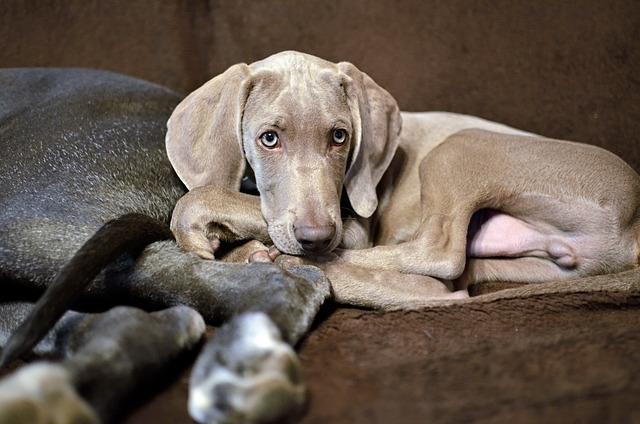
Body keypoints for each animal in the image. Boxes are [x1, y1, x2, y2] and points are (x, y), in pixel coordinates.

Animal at [169, 50, 640, 308]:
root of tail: (633, 226)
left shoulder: (354, 224)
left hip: (460, 147)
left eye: (339, 136)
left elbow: (212, 200)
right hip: (538, 264)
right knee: (456, 277)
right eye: (269, 138)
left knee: (440, 257)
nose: (316, 238)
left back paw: (292, 263)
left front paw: (202, 229)